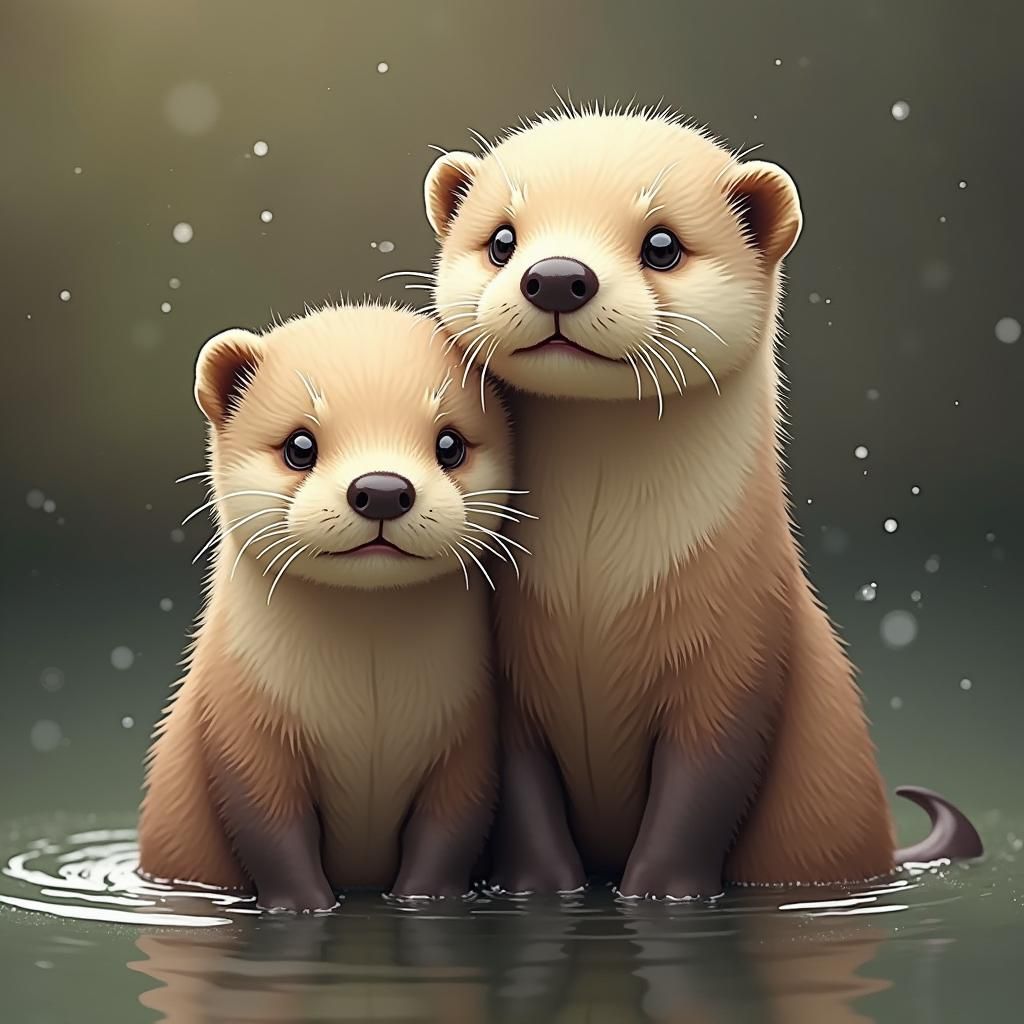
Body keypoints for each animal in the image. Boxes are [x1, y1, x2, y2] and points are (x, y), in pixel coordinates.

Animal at [138, 303, 518, 910]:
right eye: (300, 445)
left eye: (451, 443)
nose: (382, 489)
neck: (368, 712)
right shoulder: (239, 731)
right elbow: (270, 831)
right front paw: (303, 905)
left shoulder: (470, 738)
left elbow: (452, 828)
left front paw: (423, 899)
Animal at [420, 103, 982, 898]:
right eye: (501, 238)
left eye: (663, 244)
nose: (557, 276)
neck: (596, 591)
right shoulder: (508, 676)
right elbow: (524, 791)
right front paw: (540, 888)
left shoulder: (741, 649)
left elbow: (702, 792)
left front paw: (659, 891)